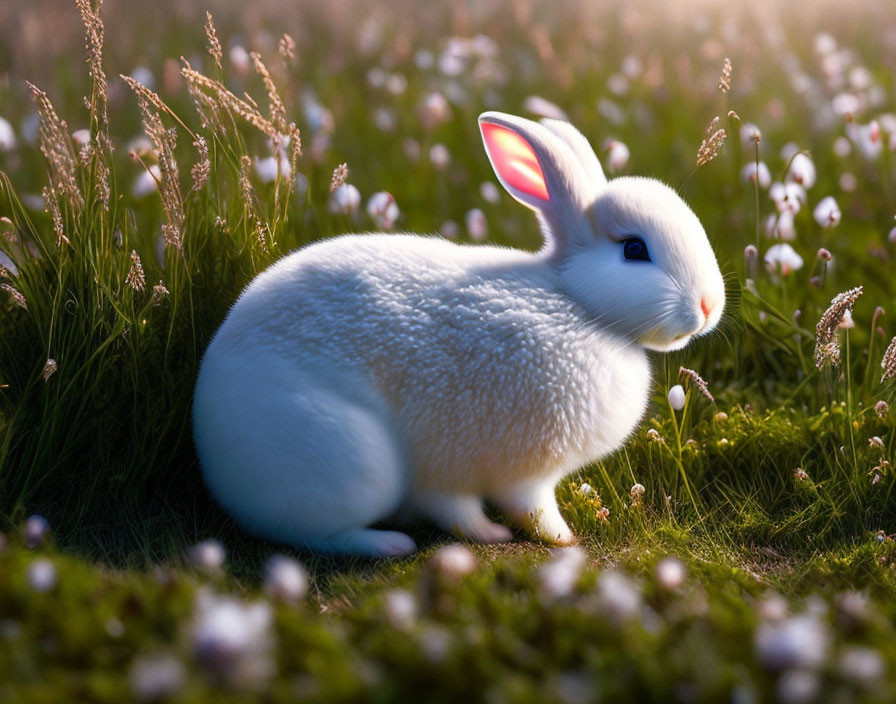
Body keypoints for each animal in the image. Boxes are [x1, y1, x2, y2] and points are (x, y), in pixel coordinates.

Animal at [192, 113, 724, 560]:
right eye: (634, 249)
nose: (707, 306)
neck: (578, 303)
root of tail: (210, 447)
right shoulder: (501, 468)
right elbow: (503, 510)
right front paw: (555, 538)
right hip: (349, 461)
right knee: (311, 532)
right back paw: (389, 543)